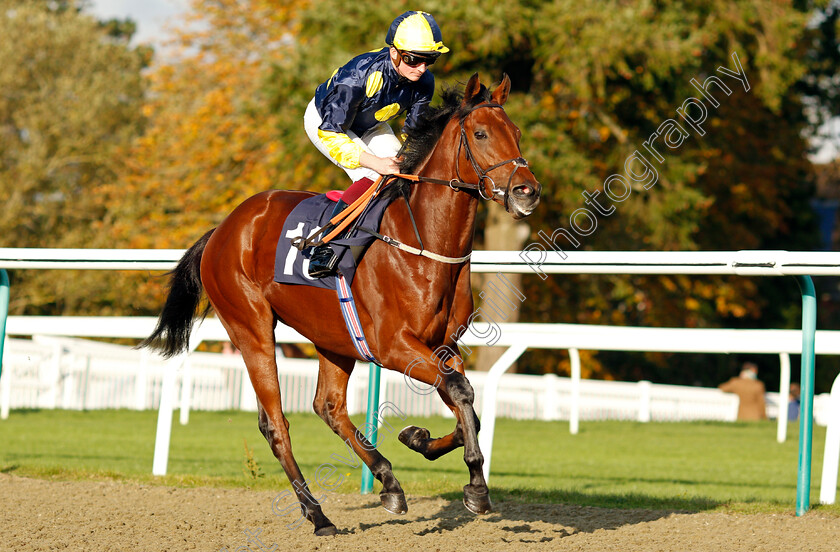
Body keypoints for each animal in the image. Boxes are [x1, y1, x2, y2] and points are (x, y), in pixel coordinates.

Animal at [141, 73, 540, 536]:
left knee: (328, 406)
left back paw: (388, 482)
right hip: (250, 327)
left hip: (332, 336)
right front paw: (476, 487)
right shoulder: (393, 346)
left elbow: (466, 407)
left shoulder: (443, 345)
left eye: (516, 133)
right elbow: (461, 392)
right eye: (480, 134)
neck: (423, 243)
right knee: (275, 423)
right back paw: (318, 515)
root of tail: (223, 229)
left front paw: (418, 438)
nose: (527, 191)